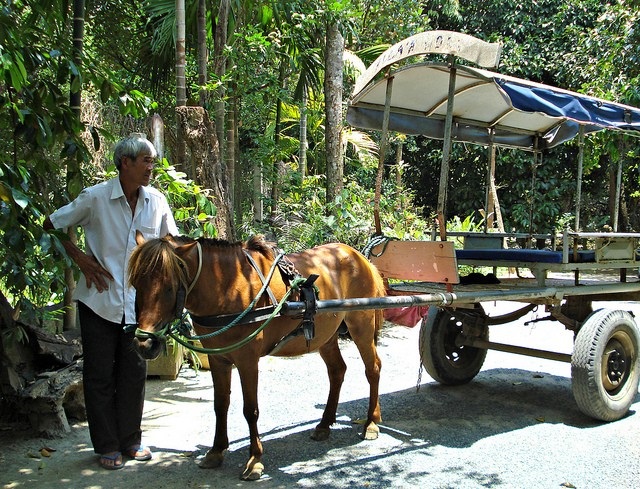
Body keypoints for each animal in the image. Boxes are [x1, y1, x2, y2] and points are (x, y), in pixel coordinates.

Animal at [127, 232, 382, 476]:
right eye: (136, 284)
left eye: (170, 287)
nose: (144, 343)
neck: (227, 287)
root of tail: (357, 255)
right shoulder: (218, 359)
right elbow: (220, 404)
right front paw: (216, 451)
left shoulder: (247, 360)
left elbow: (250, 409)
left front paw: (255, 460)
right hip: (325, 335)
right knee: (337, 370)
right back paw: (325, 424)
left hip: (361, 323)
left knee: (373, 368)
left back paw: (371, 422)